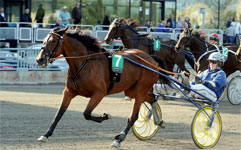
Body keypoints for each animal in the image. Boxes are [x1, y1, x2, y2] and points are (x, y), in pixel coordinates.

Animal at [35, 27, 169, 147]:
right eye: (44, 40)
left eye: (53, 41)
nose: (39, 59)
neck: (84, 62)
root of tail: (152, 60)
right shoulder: (69, 91)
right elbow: (59, 113)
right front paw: (45, 135)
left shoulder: (99, 93)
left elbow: (87, 113)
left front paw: (105, 116)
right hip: (131, 91)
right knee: (152, 99)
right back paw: (158, 121)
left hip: (141, 90)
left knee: (134, 116)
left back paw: (119, 139)